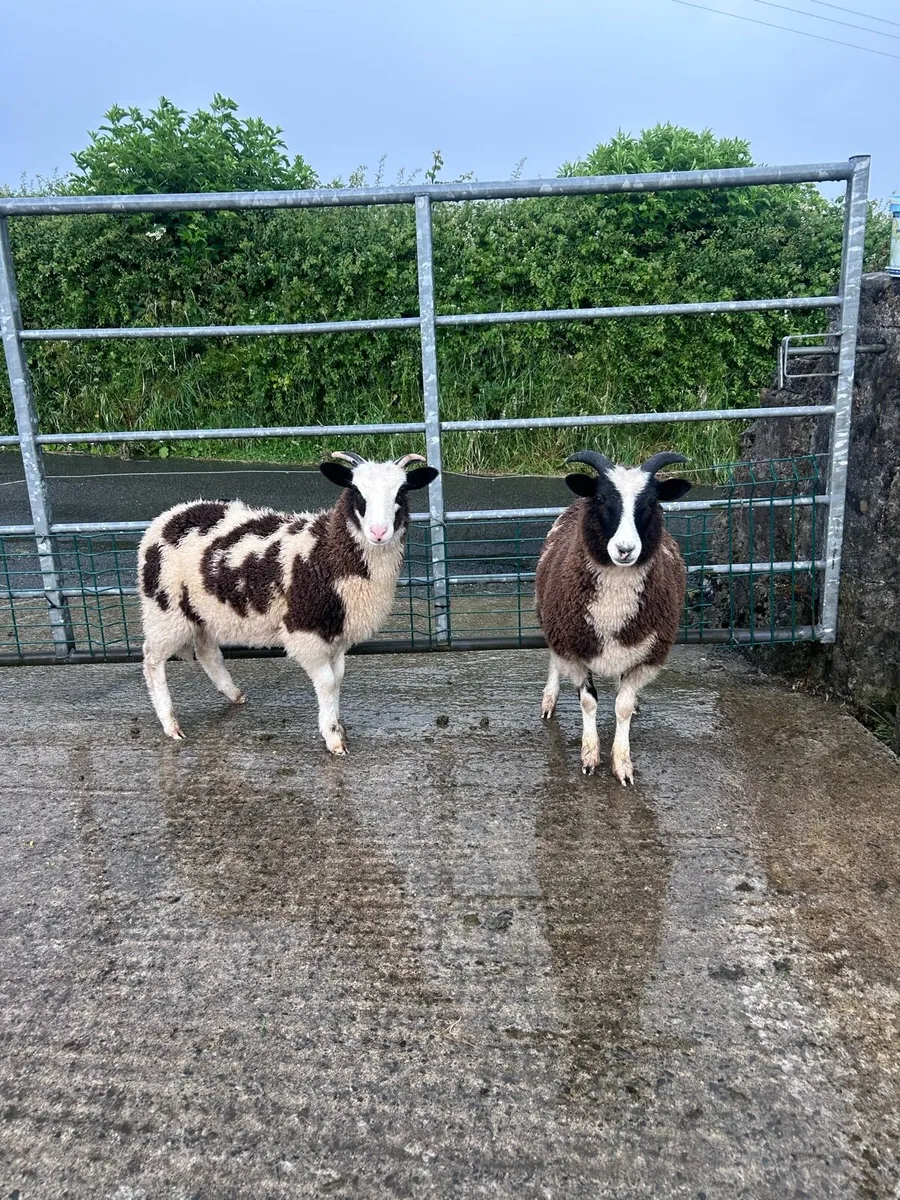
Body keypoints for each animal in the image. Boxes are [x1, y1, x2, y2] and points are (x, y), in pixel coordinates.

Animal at [137, 451, 438, 752]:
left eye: (402, 491)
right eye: (356, 491)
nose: (378, 532)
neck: (326, 552)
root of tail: (170, 515)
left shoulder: (336, 631)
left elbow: (338, 678)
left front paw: (338, 725)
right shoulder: (305, 628)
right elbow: (327, 683)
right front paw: (333, 738)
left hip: (202, 608)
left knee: (207, 650)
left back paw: (234, 694)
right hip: (165, 608)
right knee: (152, 660)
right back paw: (171, 724)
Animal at [535, 449, 692, 784]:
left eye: (651, 502)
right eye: (602, 498)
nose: (625, 549)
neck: (613, 611)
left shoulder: (647, 657)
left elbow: (622, 707)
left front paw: (622, 764)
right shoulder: (572, 649)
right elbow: (588, 701)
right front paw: (589, 758)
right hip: (550, 620)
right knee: (553, 659)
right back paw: (549, 700)